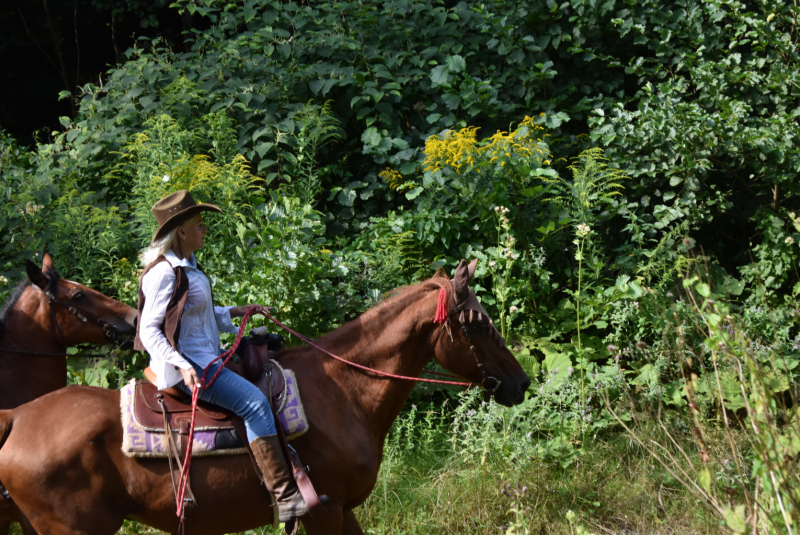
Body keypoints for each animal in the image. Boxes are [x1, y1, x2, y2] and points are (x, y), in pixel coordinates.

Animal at [0, 258, 532, 532]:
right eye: (478, 323)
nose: (521, 382)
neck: (343, 390)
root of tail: (19, 417)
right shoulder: (326, 510)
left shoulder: (342, 511)